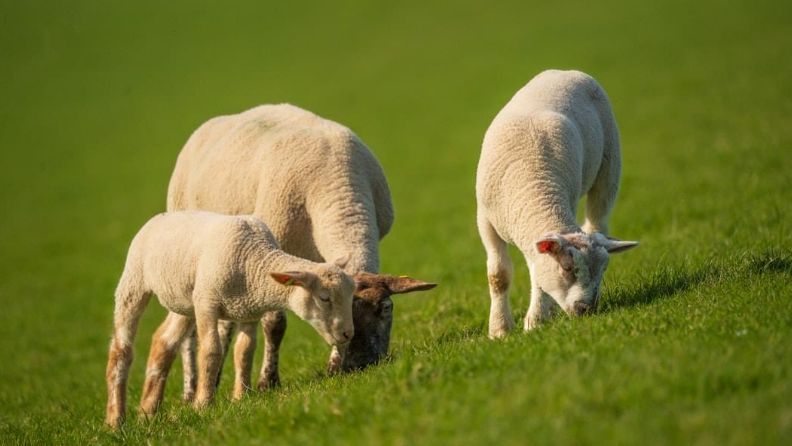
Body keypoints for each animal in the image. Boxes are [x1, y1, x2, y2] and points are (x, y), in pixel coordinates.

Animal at [104, 212, 356, 428]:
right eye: (324, 298)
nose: (348, 334)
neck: (254, 261)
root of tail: (161, 216)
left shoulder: (249, 310)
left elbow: (245, 351)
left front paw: (241, 397)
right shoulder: (207, 302)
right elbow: (211, 351)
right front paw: (203, 404)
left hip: (184, 302)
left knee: (163, 341)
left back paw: (147, 412)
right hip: (134, 281)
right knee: (121, 348)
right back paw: (115, 420)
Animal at [158, 104, 436, 400]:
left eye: (386, 308)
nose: (364, 363)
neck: (339, 190)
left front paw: (334, 366)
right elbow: (274, 324)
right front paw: (267, 382)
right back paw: (190, 391)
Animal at [476, 69, 636, 338]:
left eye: (603, 270)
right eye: (568, 268)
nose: (586, 309)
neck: (533, 186)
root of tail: (566, 72)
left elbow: (538, 279)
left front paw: (537, 321)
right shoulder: (486, 221)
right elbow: (499, 276)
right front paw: (500, 330)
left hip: (610, 167)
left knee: (597, 222)